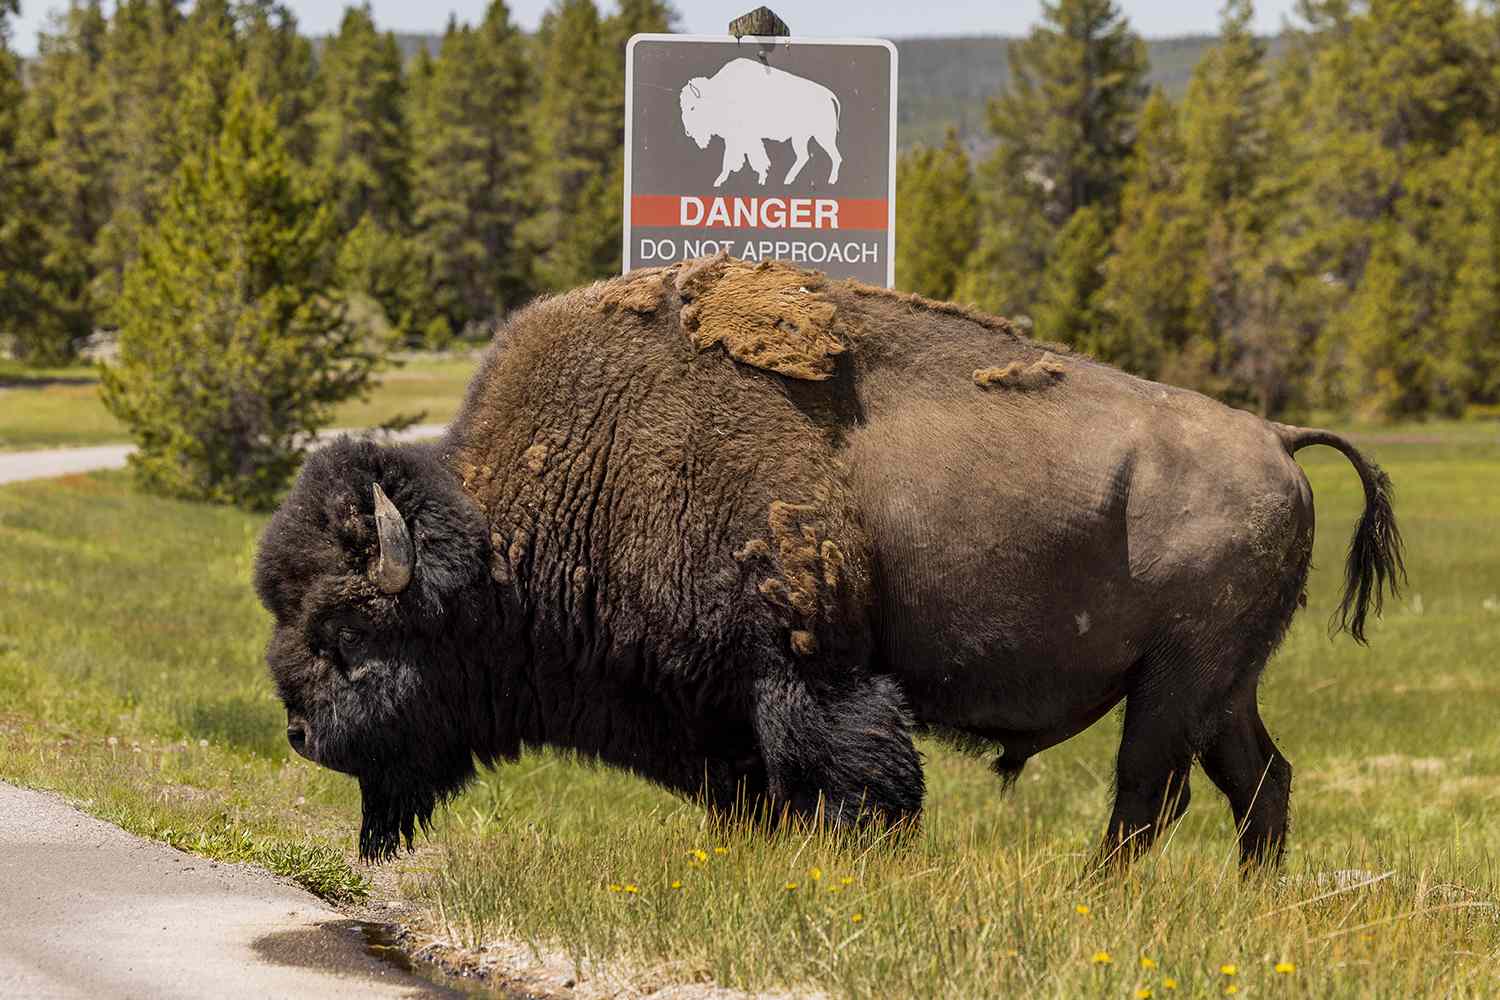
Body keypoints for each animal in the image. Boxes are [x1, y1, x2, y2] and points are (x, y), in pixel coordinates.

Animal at [255, 256, 1404, 869]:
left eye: (351, 631)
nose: (302, 734)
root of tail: (1274, 437)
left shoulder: (810, 671)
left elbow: (854, 775)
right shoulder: (720, 709)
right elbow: (760, 788)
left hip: (1175, 683)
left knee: (1146, 797)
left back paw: (1103, 897)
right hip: (1221, 687)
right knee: (1259, 781)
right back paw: (1251, 902)